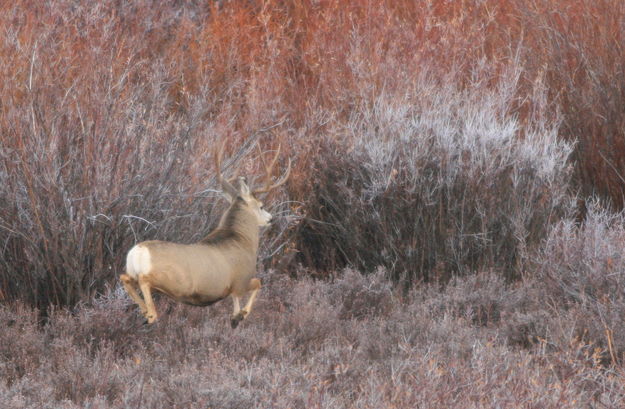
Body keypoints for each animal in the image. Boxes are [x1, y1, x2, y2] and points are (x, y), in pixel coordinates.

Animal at [119, 142, 290, 326]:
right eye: (261, 205)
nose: (271, 219)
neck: (242, 240)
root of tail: (138, 252)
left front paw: (237, 316)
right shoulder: (240, 280)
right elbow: (256, 284)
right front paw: (238, 316)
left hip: (135, 272)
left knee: (124, 278)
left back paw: (143, 311)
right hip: (168, 278)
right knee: (144, 284)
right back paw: (149, 314)